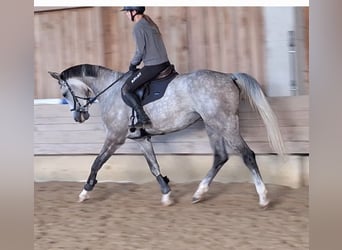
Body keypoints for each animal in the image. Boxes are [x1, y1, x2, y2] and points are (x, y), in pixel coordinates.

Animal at [47, 64, 284, 207]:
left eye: (64, 92)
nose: (79, 116)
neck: (110, 91)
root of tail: (228, 76)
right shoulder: (142, 139)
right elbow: (154, 166)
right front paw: (166, 193)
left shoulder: (115, 137)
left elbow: (96, 163)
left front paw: (85, 192)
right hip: (213, 125)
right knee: (220, 157)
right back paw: (199, 193)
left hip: (225, 124)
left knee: (247, 155)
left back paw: (263, 197)